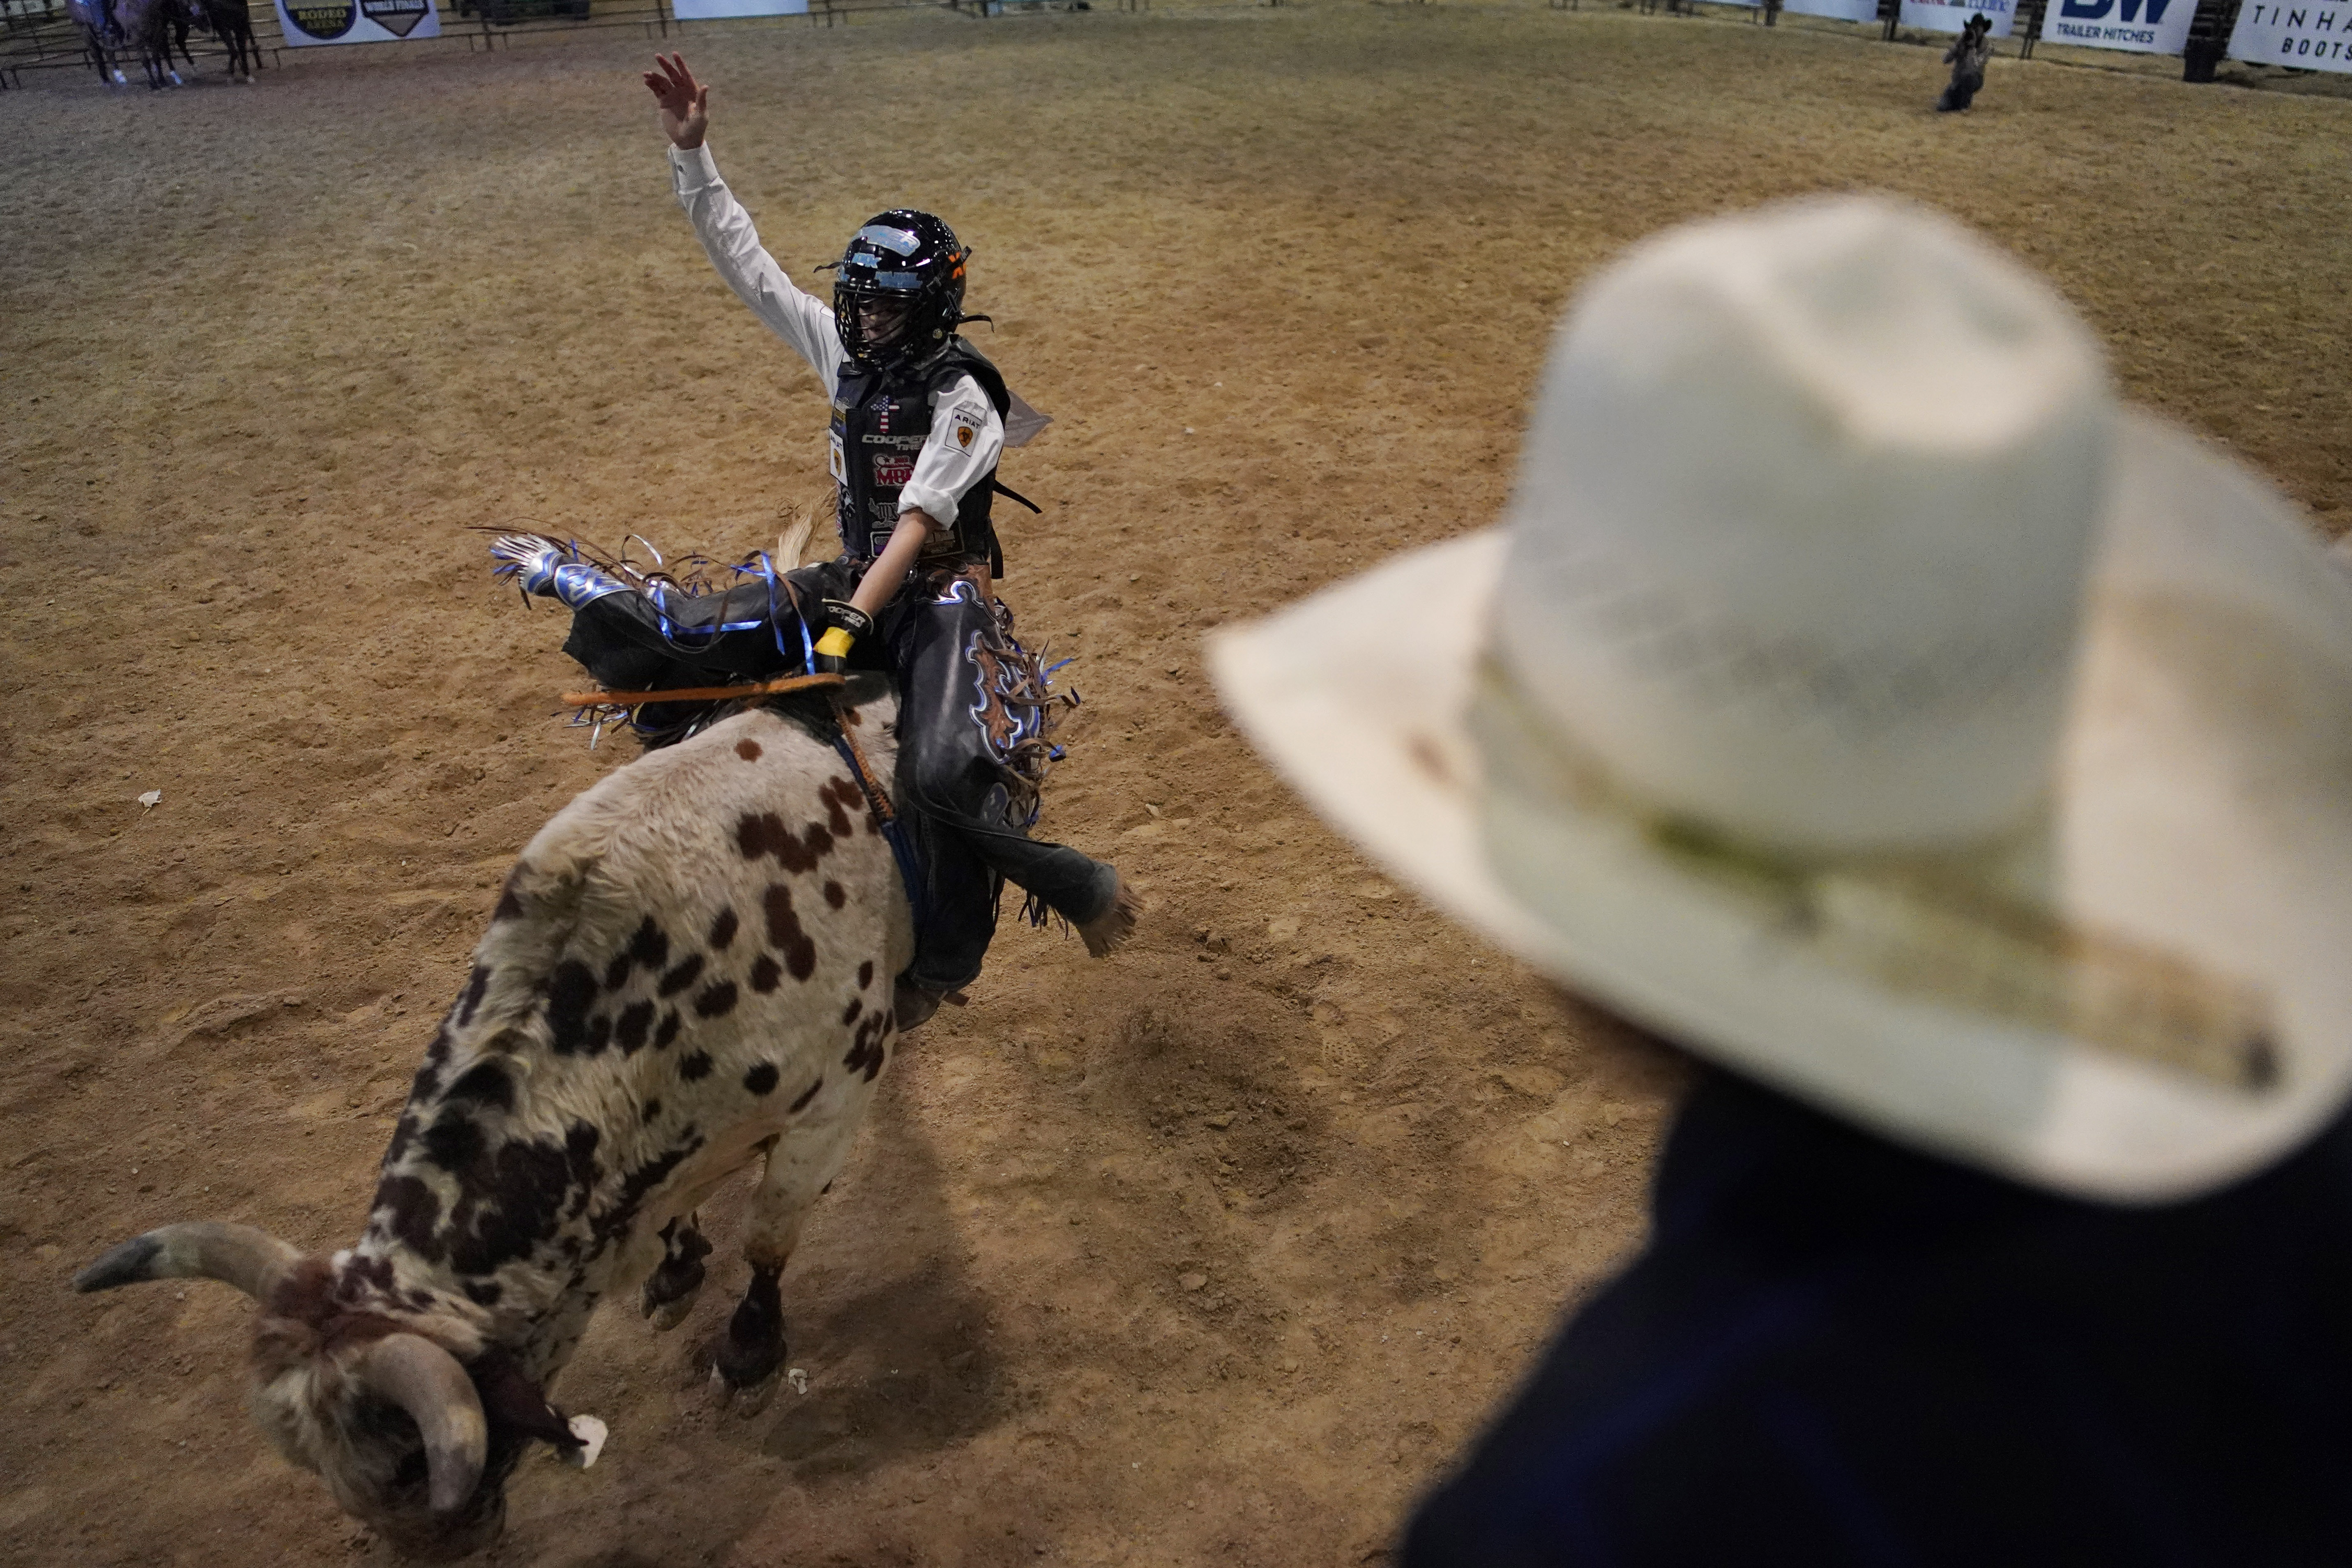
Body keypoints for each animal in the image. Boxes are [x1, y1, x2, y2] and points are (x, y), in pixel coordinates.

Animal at [73, 691, 917, 1561]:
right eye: (320, 1466)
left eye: (411, 1460)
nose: (442, 1550)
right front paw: (677, 1271)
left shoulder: (833, 1105)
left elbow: (767, 1240)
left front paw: (750, 1352)